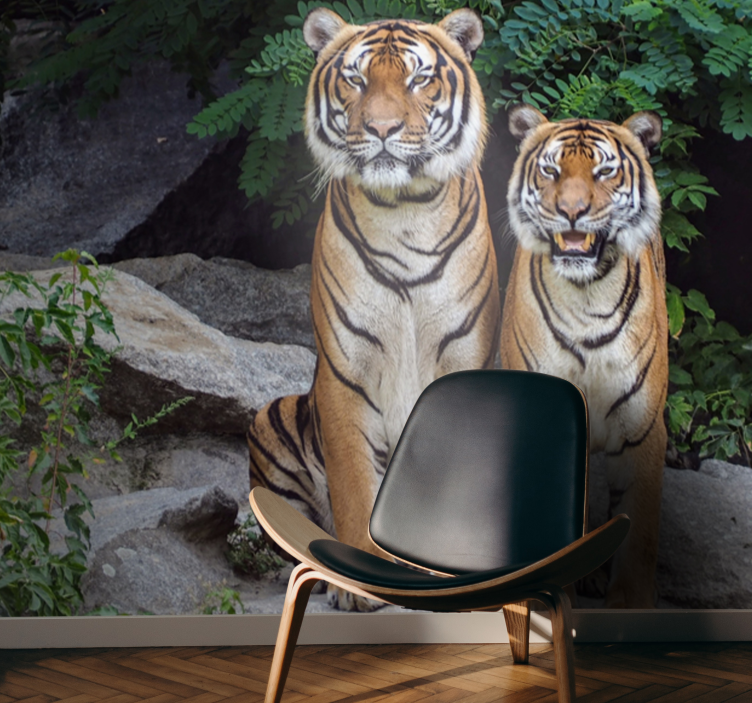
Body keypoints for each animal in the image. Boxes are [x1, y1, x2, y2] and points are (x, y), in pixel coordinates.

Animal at [247, 8, 500, 611]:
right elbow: (354, 480)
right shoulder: (345, 371)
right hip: (271, 417)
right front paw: (360, 587)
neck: (404, 210)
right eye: (356, 80)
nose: (382, 128)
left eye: (418, 79)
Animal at [499, 104, 668, 609]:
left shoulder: (644, 430)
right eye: (551, 171)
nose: (571, 212)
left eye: (604, 172)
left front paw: (629, 601)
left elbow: (640, 536)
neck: (586, 296)